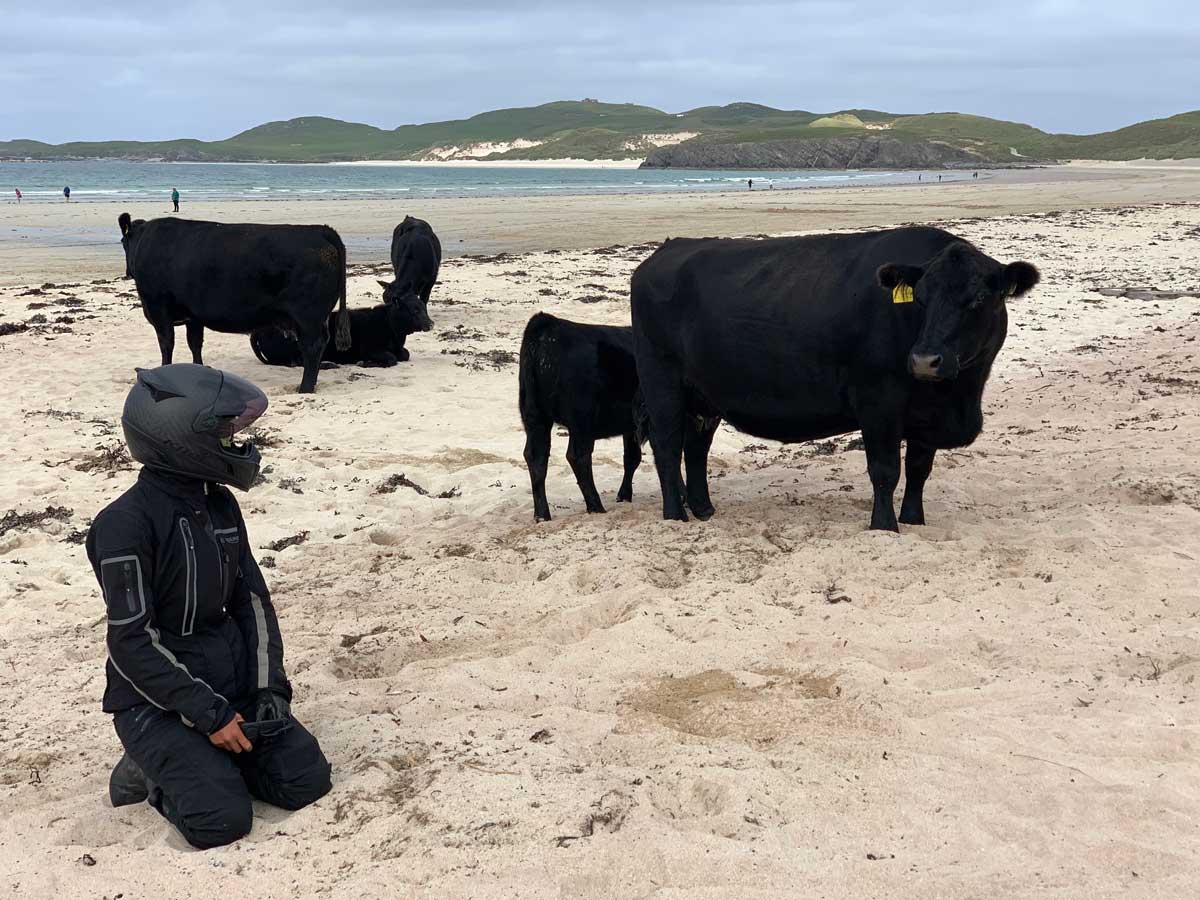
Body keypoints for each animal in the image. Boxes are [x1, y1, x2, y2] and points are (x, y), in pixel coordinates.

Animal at [117, 214, 350, 393]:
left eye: (122, 242)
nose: (127, 272)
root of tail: (320, 230)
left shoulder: (158, 309)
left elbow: (166, 344)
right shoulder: (193, 316)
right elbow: (195, 344)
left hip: (307, 317)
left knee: (312, 346)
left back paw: (305, 388)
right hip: (316, 317)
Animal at [248, 292, 432, 369]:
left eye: (423, 307)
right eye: (414, 310)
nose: (430, 323)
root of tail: (259, 330)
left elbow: (405, 354)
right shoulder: (371, 349)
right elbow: (392, 359)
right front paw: (366, 363)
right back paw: (328, 364)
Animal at [518, 314, 643, 520]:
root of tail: (548, 323)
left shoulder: (632, 426)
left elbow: (632, 458)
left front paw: (624, 496)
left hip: (535, 417)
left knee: (536, 456)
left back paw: (542, 515)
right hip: (581, 420)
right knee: (578, 456)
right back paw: (596, 506)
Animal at [633, 229, 1036, 532]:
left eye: (980, 297)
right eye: (920, 298)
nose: (924, 360)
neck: (958, 396)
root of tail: (668, 248)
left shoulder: (926, 415)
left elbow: (919, 469)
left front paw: (913, 520)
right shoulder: (878, 401)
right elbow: (885, 470)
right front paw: (884, 527)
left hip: (704, 394)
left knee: (695, 447)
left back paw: (703, 509)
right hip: (661, 380)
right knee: (667, 445)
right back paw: (675, 516)